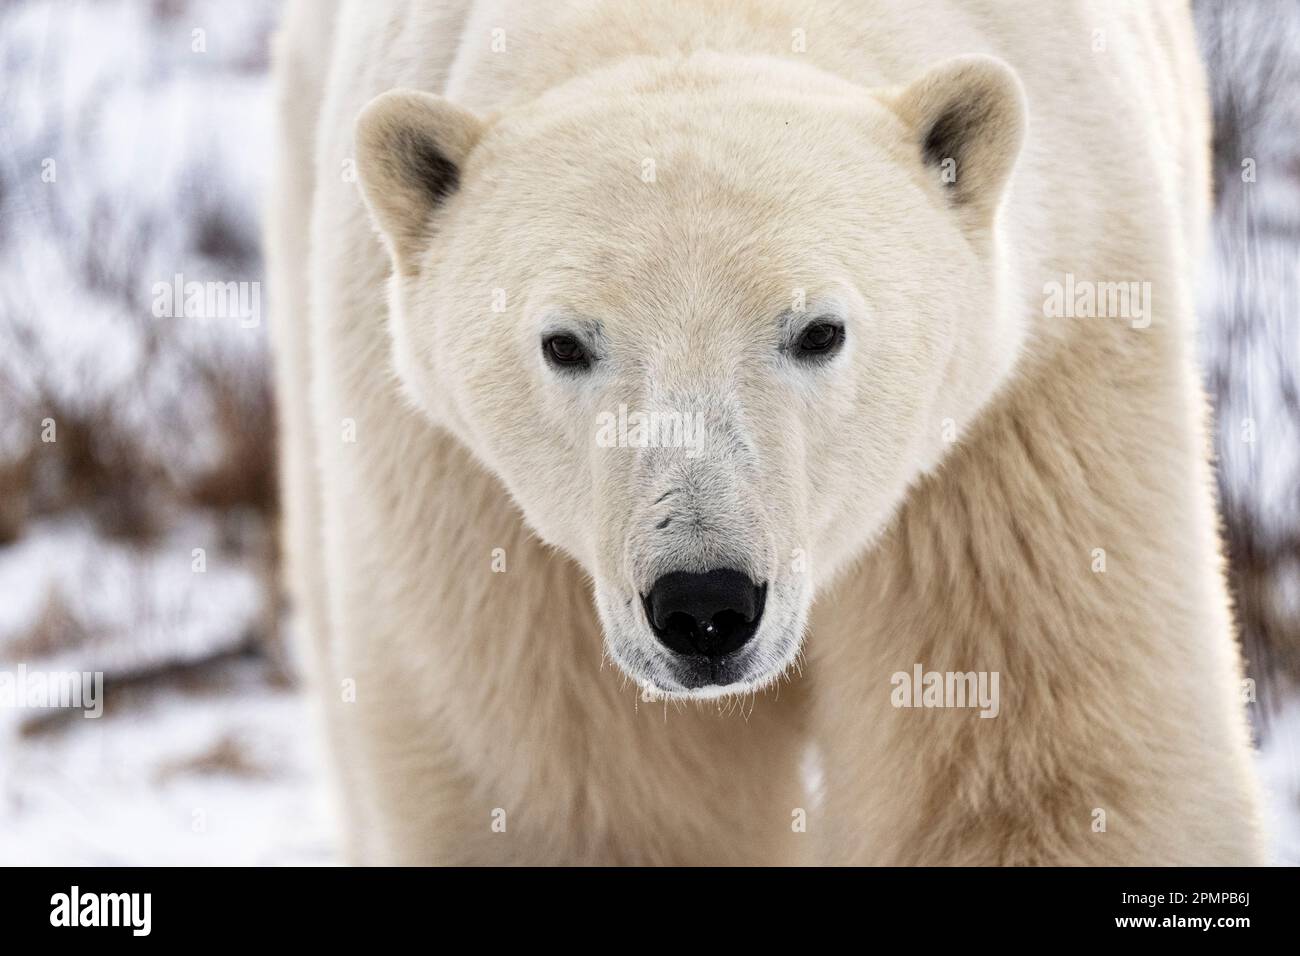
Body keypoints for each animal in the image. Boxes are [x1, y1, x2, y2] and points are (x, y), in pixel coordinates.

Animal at [269, 0, 1263, 868]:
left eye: (818, 331)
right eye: (564, 343)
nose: (704, 604)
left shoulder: (1037, 396)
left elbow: (1047, 771)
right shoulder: (472, 504)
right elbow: (583, 794)